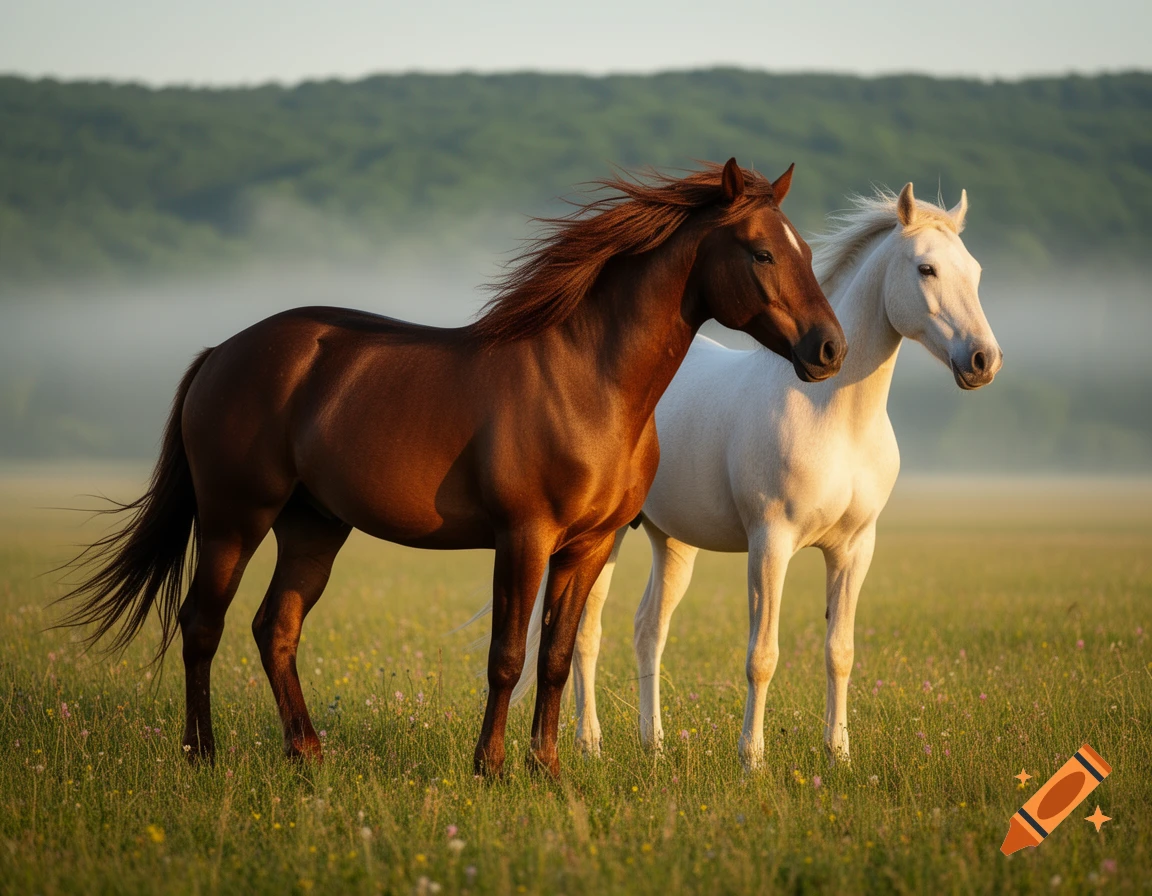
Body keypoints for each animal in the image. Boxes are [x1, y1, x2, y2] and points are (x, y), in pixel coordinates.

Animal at [57, 158, 846, 779]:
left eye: (805, 249)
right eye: (761, 253)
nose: (829, 348)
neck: (589, 383)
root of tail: (221, 352)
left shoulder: (588, 546)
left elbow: (556, 656)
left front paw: (546, 767)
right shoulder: (523, 538)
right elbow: (507, 655)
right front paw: (490, 766)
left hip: (313, 528)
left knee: (274, 628)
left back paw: (307, 752)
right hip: (233, 521)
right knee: (202, 625)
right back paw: (205, 756)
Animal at [513, 182, 1002, 769]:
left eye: (974, 270)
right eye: (926, 268)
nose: (983, 359)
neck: (834, 418)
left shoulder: (855, 549)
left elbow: (840, 651)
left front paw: (839, 754)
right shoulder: (771, 543)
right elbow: (761, 656)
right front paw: (753, 760)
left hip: (672, 541)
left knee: (649, 628)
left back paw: (654, 744)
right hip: (603, 540)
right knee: (588, 633)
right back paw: (590, 744)